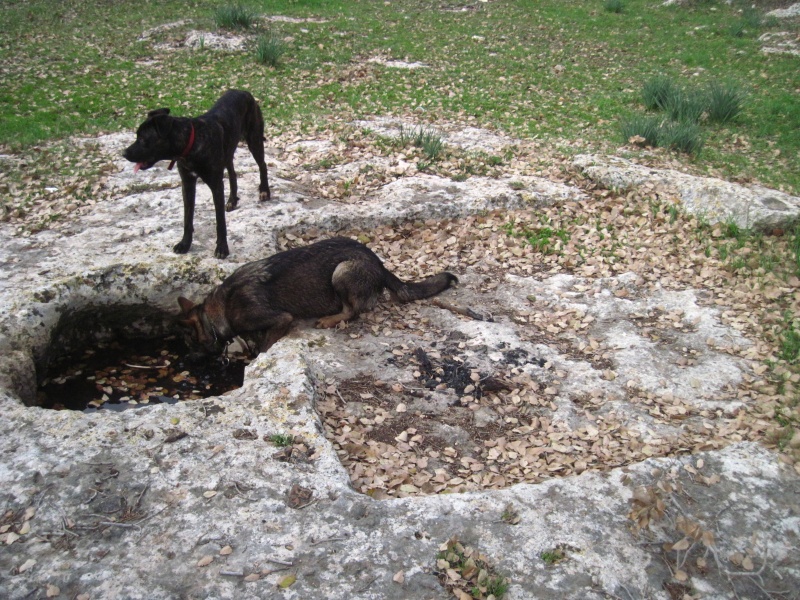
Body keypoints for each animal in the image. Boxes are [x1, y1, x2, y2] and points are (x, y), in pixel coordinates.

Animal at [123, 89, 270, 258]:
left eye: (142, 138)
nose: (123, 153)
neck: (190, 143)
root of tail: (244, 91)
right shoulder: (187, 183)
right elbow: (187, 218)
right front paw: (185, 244)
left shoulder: (216, 185)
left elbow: (220, 221)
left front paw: (222, 247)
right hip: (228, 151)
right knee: (233, 173)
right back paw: (232, 200)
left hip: (254, 139)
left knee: (263, 165)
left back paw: (265, 191)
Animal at [178, 237, 460, 358]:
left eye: (191, 343)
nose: (188, 359)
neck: (219, 309)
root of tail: (379, 264)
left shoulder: (281, 319)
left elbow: (266, 345)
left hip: (342, 271)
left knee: (352, 311)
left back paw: (330, 319)